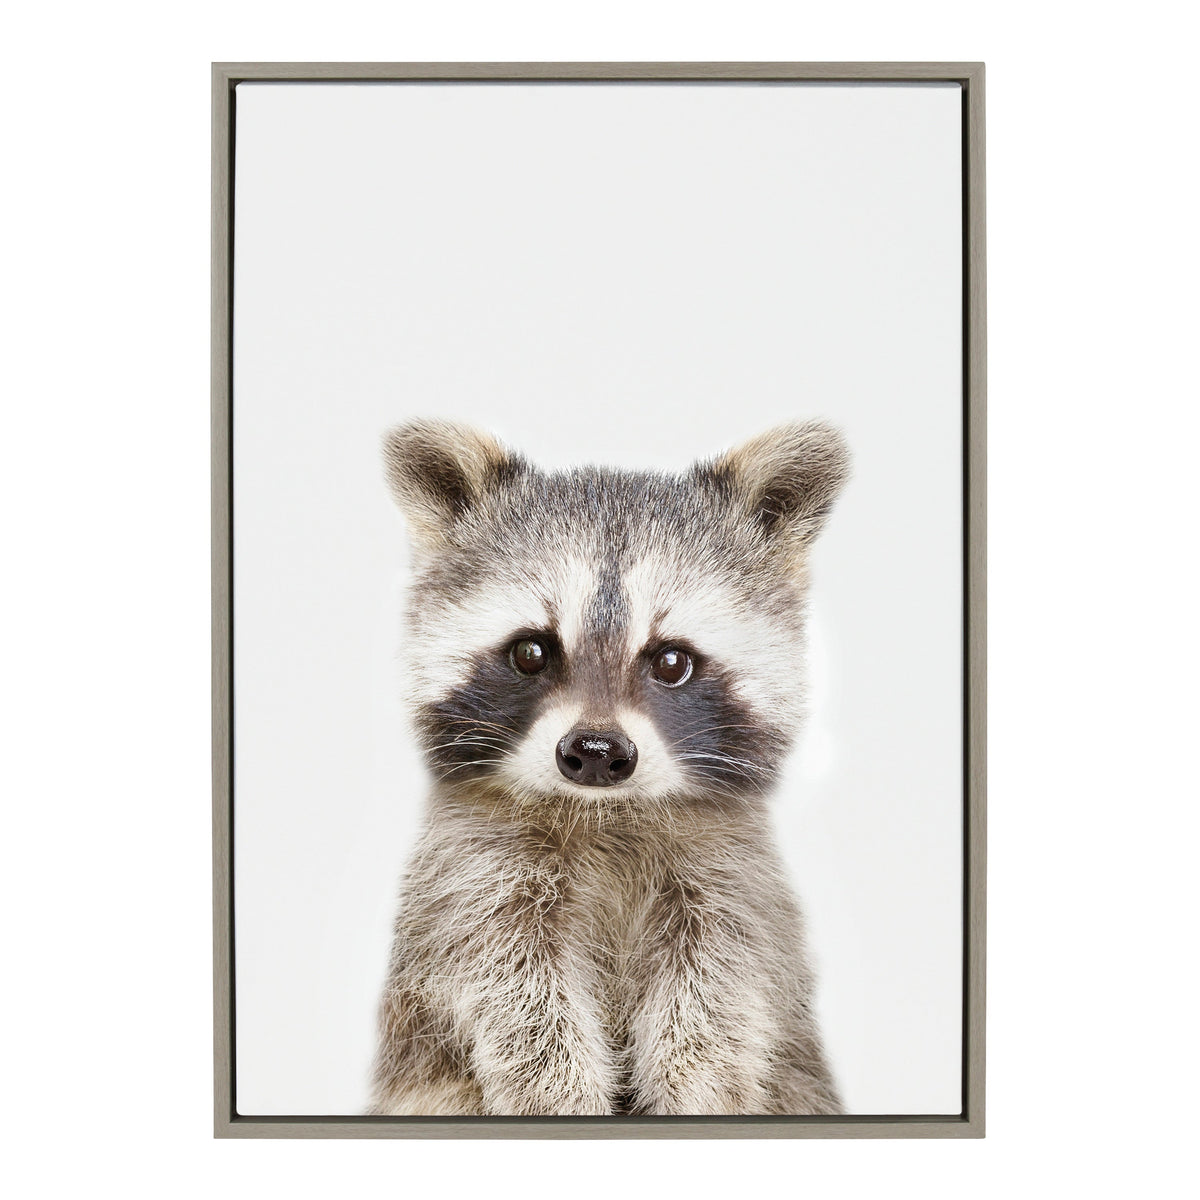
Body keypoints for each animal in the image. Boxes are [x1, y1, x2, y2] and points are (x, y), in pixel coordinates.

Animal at [369, 419, 848, 1117]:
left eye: (672, 660)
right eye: (531, 651)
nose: (595, 753)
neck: (605, 815)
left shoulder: (732, 881)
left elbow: (718, 999)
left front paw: (694, 1090)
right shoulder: (470, 878)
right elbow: (515, 995)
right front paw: (558, 1095)